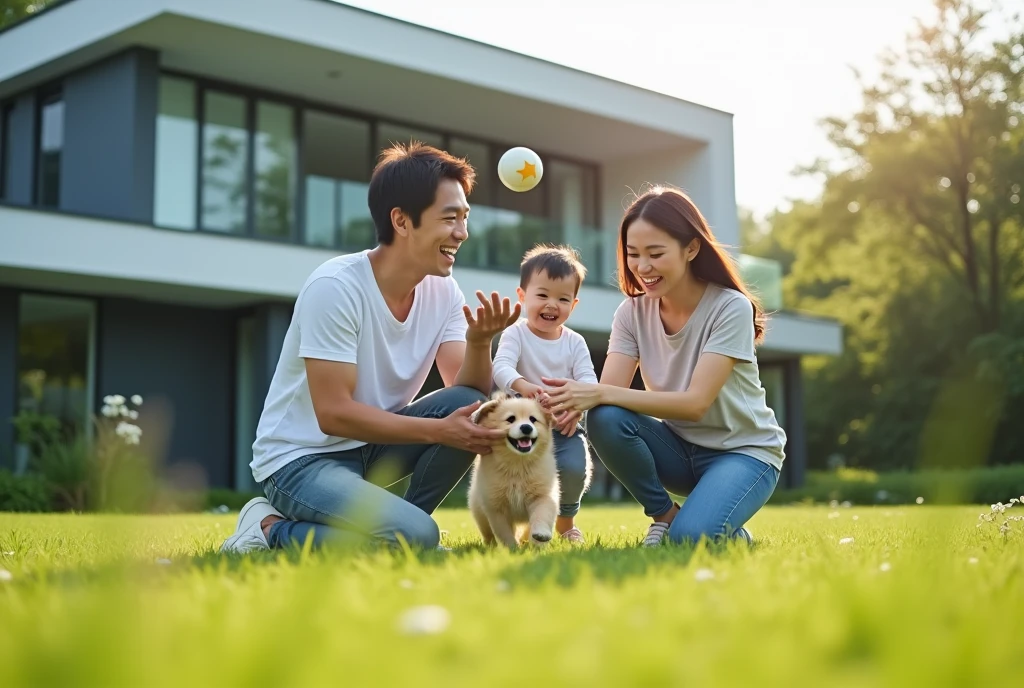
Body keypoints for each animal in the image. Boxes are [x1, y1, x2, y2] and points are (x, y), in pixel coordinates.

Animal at [468, 393, 561, 548]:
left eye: (533, 419)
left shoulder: (542, 496)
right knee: (487, 533)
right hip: (479, 512)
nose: (526, 428)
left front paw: (540, 536)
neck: (518, 466)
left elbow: (542, 514)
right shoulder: (496, 508)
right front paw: (512, 549)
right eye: (510, 419)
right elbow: (504, 532)